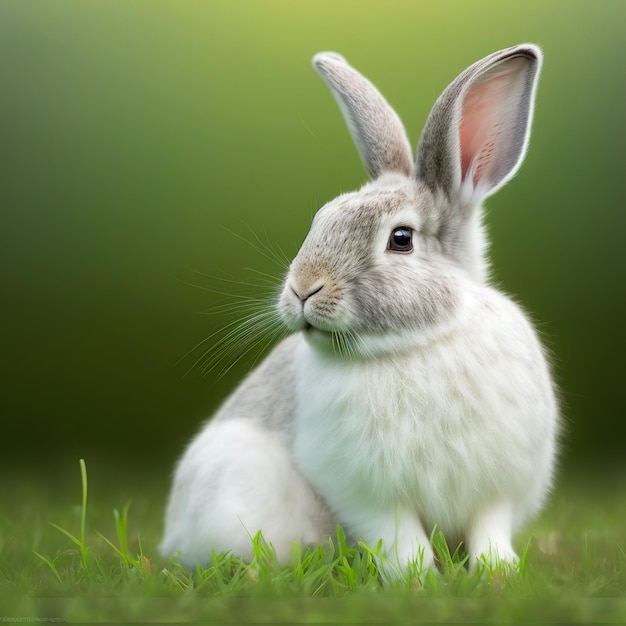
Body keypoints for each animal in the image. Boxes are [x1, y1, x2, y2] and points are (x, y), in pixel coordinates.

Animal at [160, 44, 556, 576]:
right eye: (321, 219)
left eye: (401, 238)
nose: (303, 289)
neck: (422, 342)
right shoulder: (368, 494)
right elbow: (400, 535)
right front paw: (418, 578)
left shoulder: (498, 487)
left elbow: (488, 529)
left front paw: (498, 572)